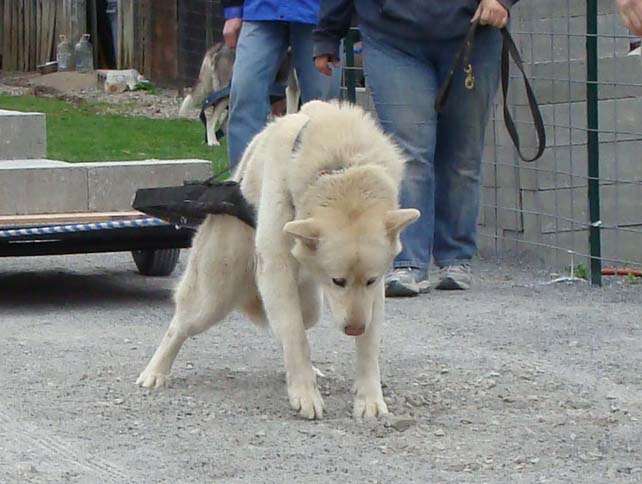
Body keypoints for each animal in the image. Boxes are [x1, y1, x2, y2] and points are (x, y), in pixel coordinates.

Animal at [137, 100, 418, 418]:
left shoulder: (372, 297)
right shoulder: (277, 267)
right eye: (337, 280)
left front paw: (369, 398)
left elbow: (367, 347)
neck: (341, 166)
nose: (354, 328)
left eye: (371, 280)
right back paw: (155, 372)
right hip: (213, 297)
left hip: (310, 304)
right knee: (181, 326)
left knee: (290, 321)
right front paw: (305, 393)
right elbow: (295, 337)